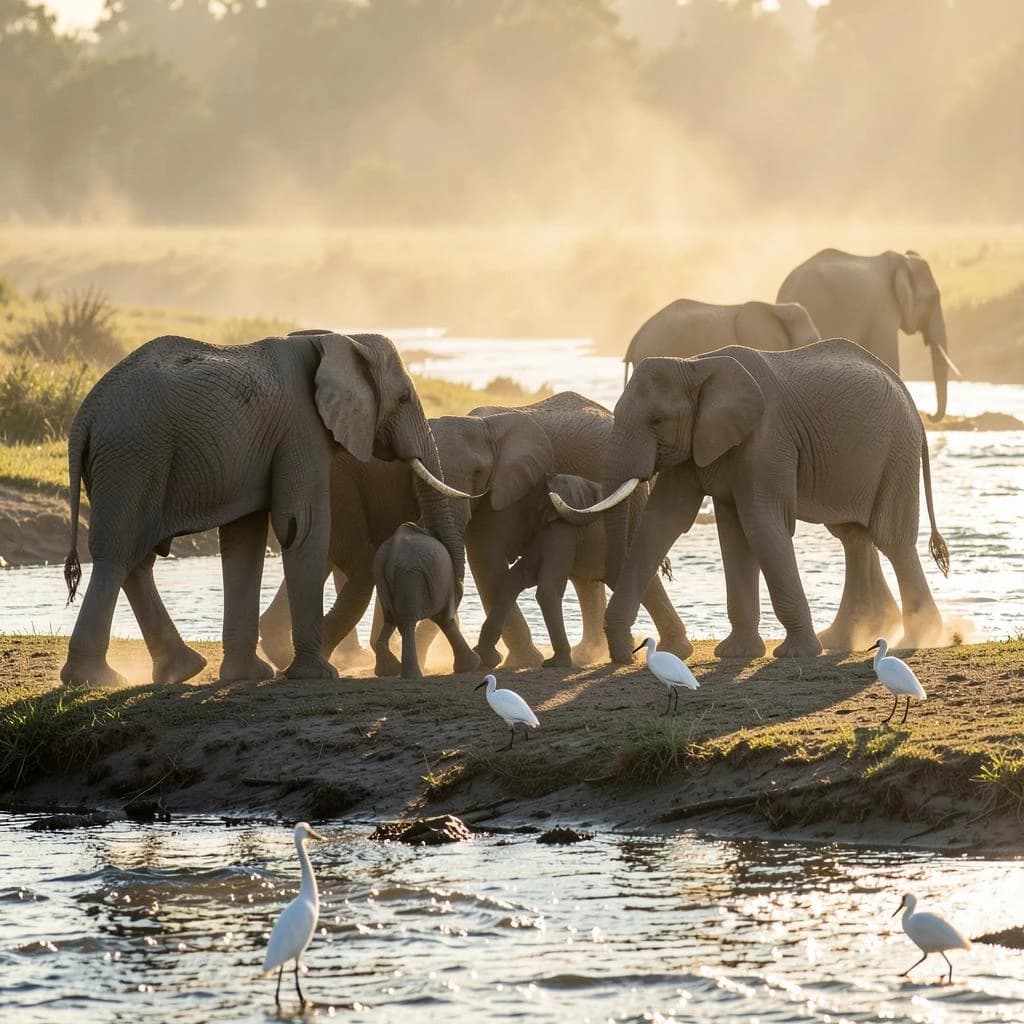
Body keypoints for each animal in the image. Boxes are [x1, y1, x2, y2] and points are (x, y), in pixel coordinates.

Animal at [61, 330, 469, 688]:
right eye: (403, 398)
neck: (338, 339)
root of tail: (83, 418)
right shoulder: (301, 428)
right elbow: (301, 524)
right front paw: (316, 675)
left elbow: (245, 539)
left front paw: (247, 676)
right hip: (132, 456)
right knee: (117, 554)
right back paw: (96, 679)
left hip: (129, 460)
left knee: (136, 559)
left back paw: (180, 670)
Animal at [373, 523, 480, 680]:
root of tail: (392, 553)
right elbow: (444, 617)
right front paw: (472, 665)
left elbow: (439, 618)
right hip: (410, 574)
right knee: (407, 621)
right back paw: (411, 675)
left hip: (381, 577)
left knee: (390, 618)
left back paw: (389, 670)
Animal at [552, 340, 949, 662]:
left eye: (658, 420)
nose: (626, 657)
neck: (695, 365)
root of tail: (909, 397)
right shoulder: (700, 442)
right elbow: (672, 523)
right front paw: (737, 654)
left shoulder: (767, 438)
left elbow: (761, 523)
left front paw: (794, 654)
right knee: (852, 535)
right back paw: (842, 640)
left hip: (897, 451)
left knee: (891, 539)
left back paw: (920, 637)